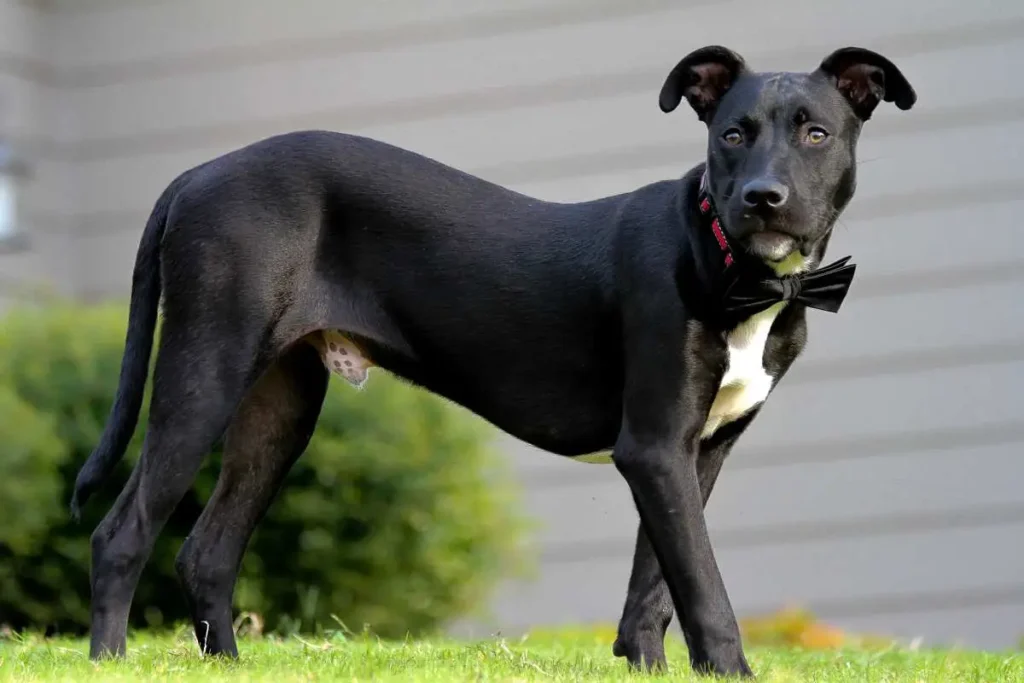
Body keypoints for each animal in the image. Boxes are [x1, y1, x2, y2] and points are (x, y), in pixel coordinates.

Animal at [74, 45, 921, 675]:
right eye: (731, 135)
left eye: (816, 134)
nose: (762, 199)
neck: (730, 265)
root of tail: (197, 174)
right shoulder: (654, 447)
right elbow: (702, 586)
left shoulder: (695, 451)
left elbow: (655, 584)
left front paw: (647, 664)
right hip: (204, 370)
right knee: (122, 532)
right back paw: (108, 659)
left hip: (278, 404)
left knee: (206, 552)